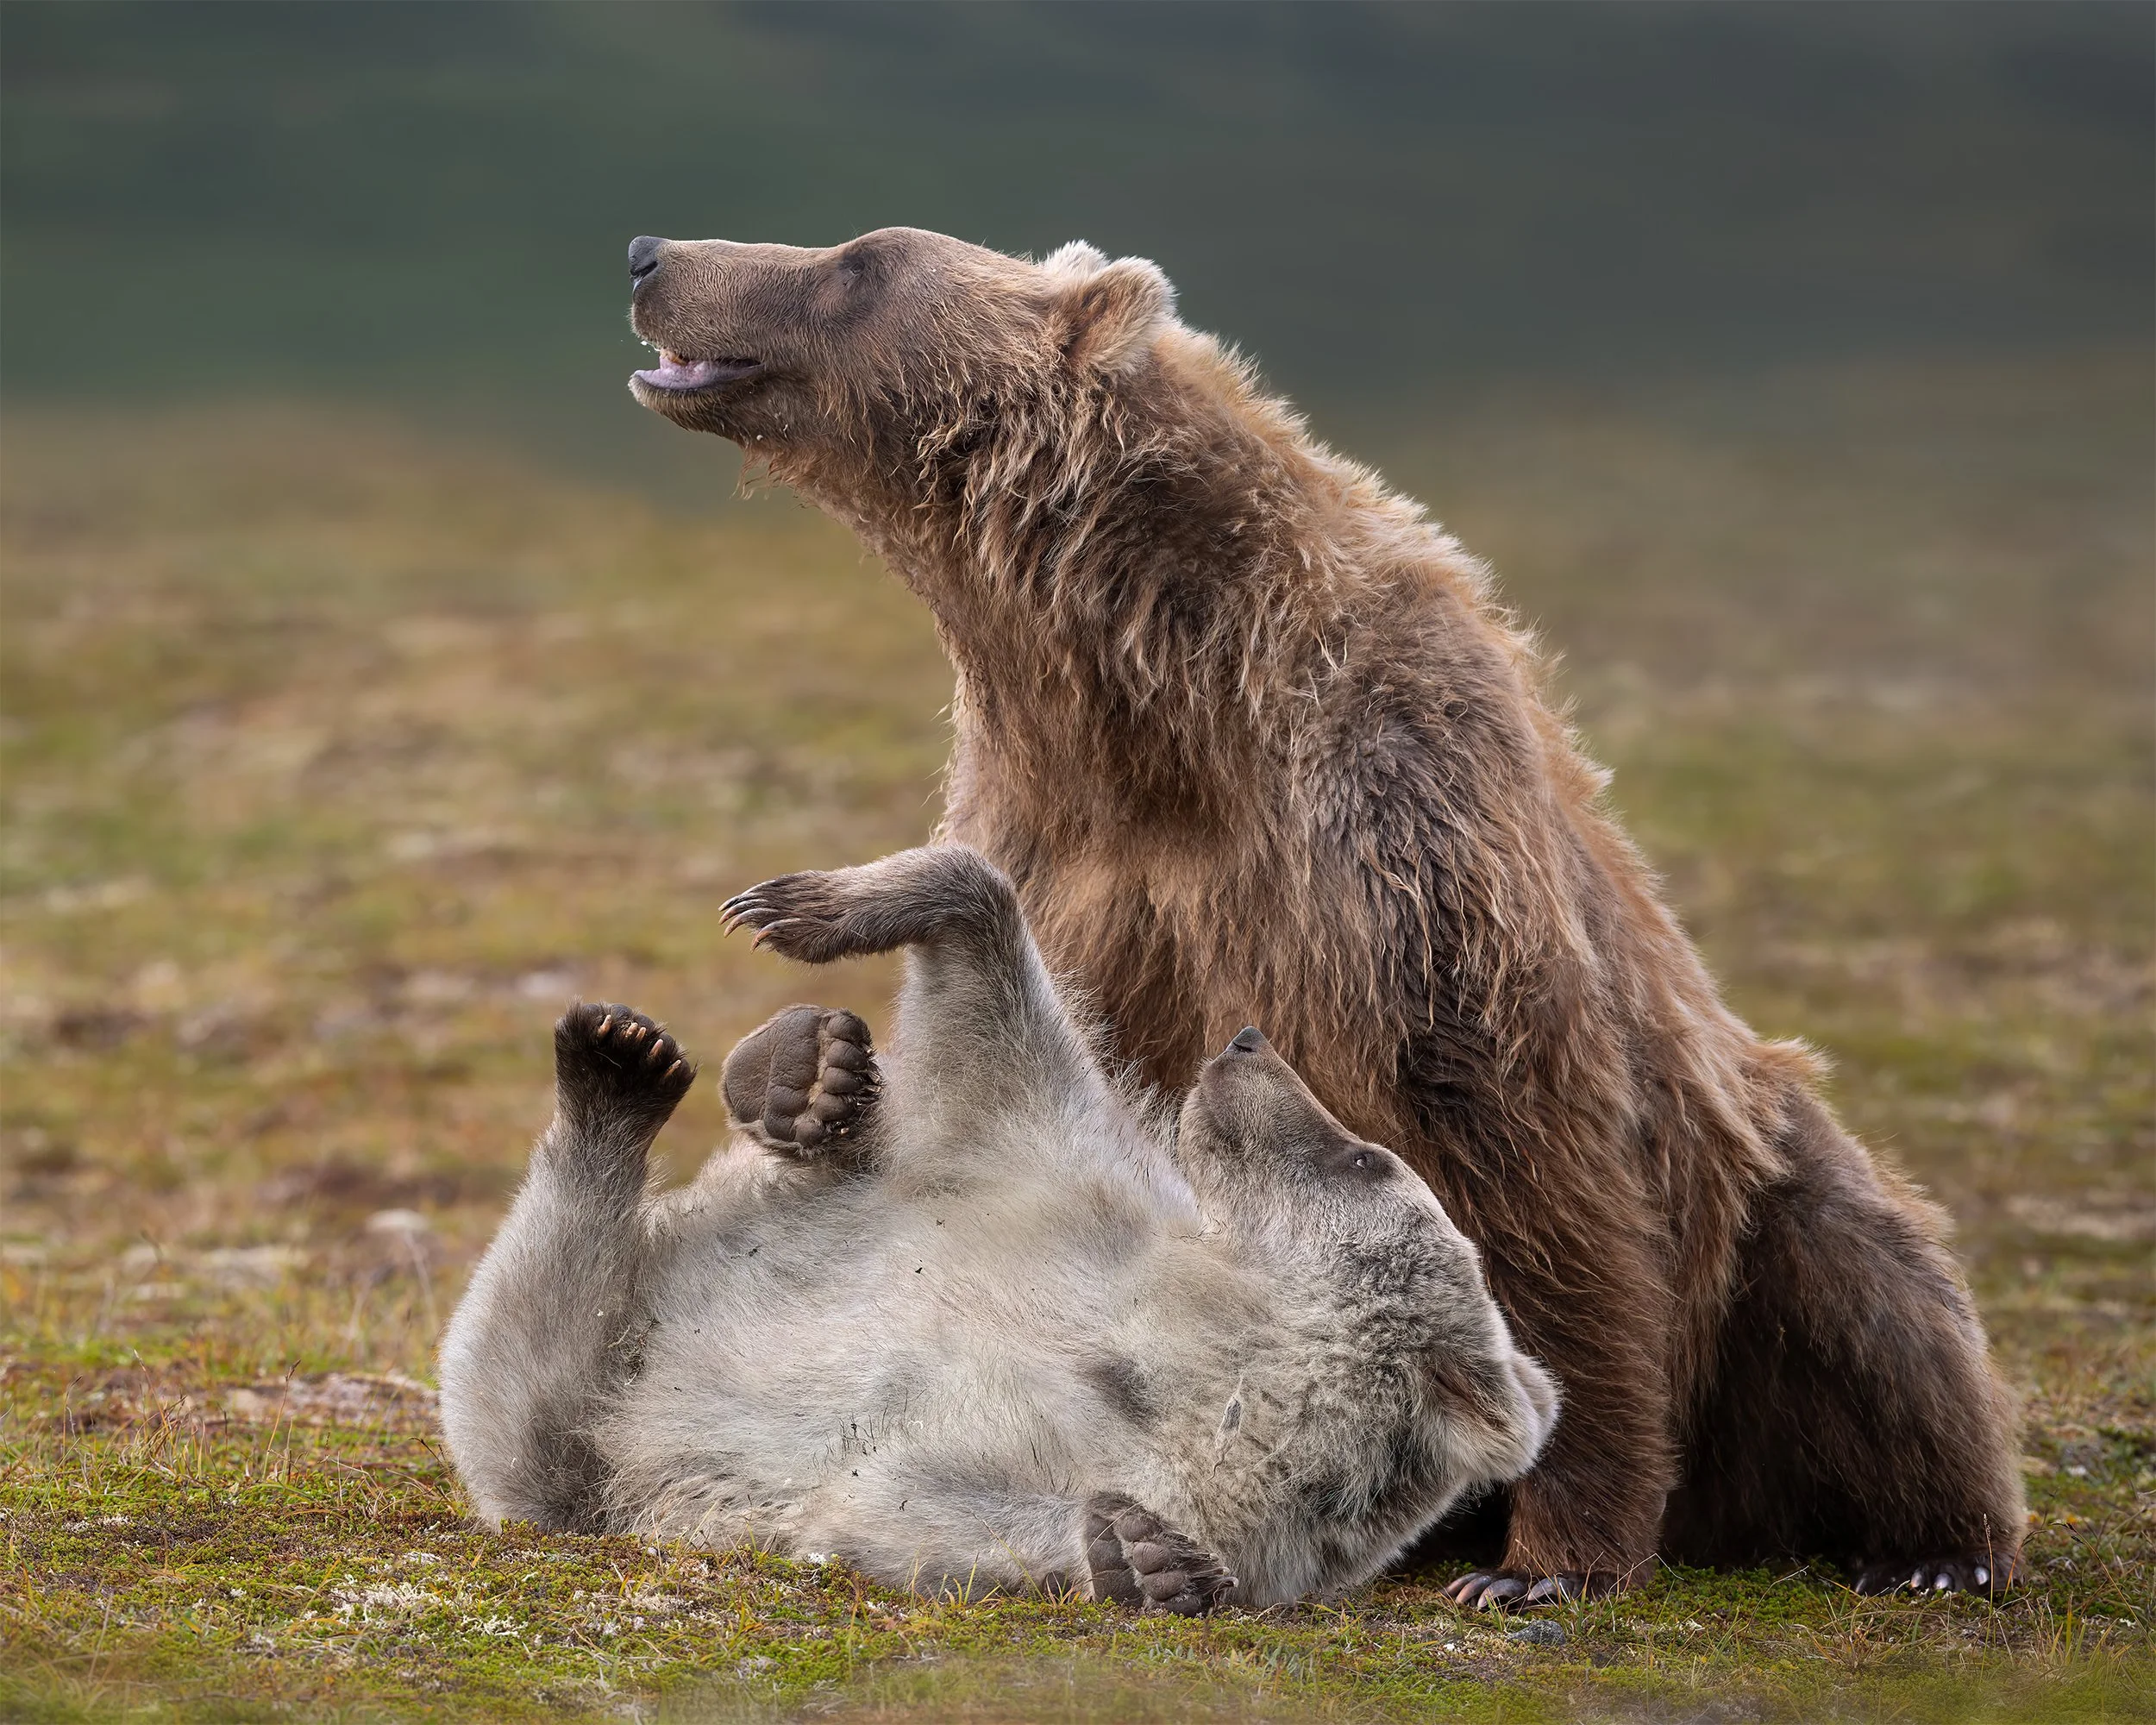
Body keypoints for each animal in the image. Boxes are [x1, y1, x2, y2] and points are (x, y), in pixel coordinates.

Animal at [436, 845, 1557, 1607]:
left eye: (1370, 1156)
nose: (1247, 1039)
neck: (1194, 1346)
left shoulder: (1179, 1477)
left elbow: (902, 1503)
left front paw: (1142, 1557)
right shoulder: (1044, 1179)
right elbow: (995, 1013)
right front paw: (809, 905)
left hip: (581, 1440)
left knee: (531, 1353)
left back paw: (620, 1079)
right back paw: (718, 1065)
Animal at [621, 227, 2025, 1604]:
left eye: (856, 260)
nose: (650, 253)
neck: (1157, 697)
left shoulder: (1396, 826)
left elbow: (1520, 1149)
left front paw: (1543, 1563)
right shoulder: (1074, 843)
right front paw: (807, 1071)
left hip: (1756, 1189)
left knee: (1871, 1300)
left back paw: (1934, 1547)